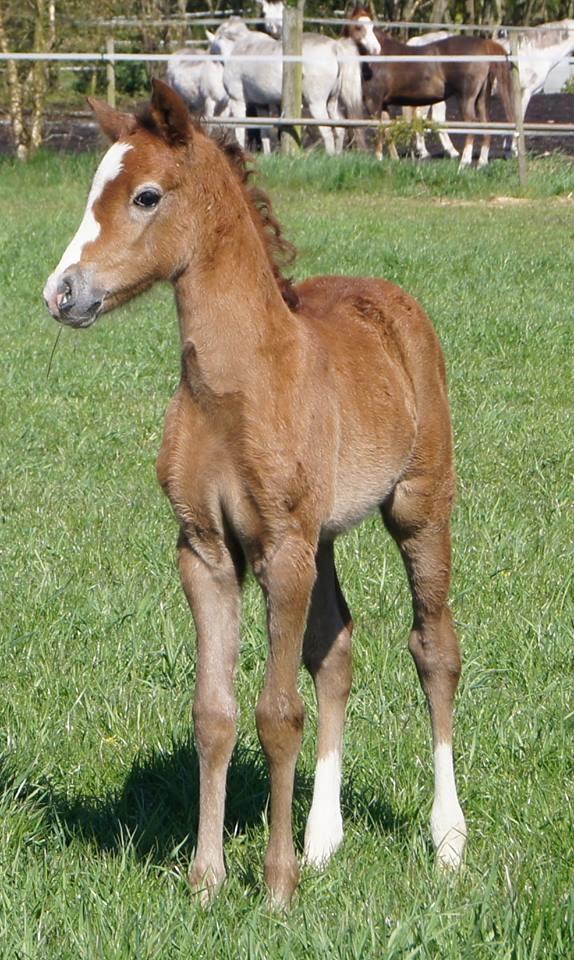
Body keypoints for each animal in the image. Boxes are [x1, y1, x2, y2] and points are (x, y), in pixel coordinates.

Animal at [42, 79, 467, 908]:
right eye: (90, 192)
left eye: (145, 195)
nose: (61, 293)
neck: (239, 385)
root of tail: (395, 299)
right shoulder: (205, 551)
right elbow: (215, 713)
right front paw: (208, 879)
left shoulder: (283, 552)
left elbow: (277, 714)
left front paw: (274, 888)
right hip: (326, 536)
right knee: (336, 651)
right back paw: (323, 839)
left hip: (418, 506)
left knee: (434, 649)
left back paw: (447, 839)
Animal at [220, 6, 380, 154]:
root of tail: (335, 47)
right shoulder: (262, 105)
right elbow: (264, 132)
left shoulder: (237, 100)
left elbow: (240, 131)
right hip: (332, 101)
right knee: (340, 128)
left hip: (316, 104)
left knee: (327, 131)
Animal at [362, 30, 514, 169]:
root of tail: (484, 44)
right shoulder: (382, 104)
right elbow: (386, 129)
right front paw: (394, 159)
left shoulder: (373, 101)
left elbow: (378, 130)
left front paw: (379, 159)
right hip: (480, 99)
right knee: (485, 125)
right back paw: (480, 162)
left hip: (466, 98)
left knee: (471, 124)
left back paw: (463, 161)